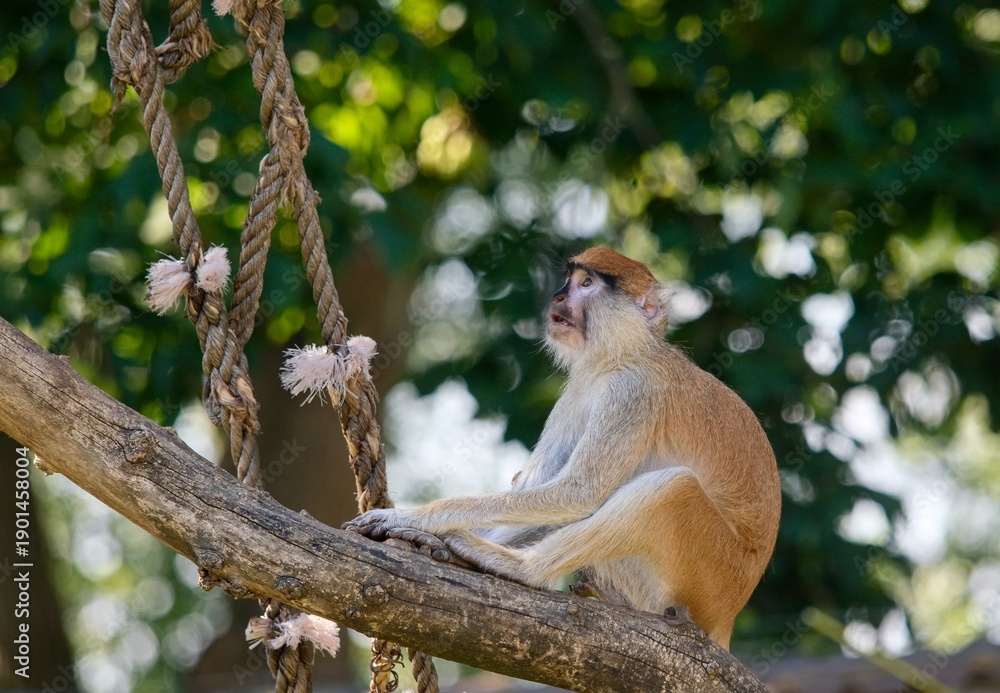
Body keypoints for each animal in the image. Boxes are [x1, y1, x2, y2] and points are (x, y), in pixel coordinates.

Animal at [344, 246, 781, 650]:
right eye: (567, 280)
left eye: (586, 284)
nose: (556, 298)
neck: (622, 354)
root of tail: (727, 615)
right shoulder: (578, 390)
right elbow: (542, 495)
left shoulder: (633, 392)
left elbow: (579, 492)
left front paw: (412, 517)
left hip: (708, 572)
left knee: (672, 488)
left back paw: (522, 568)